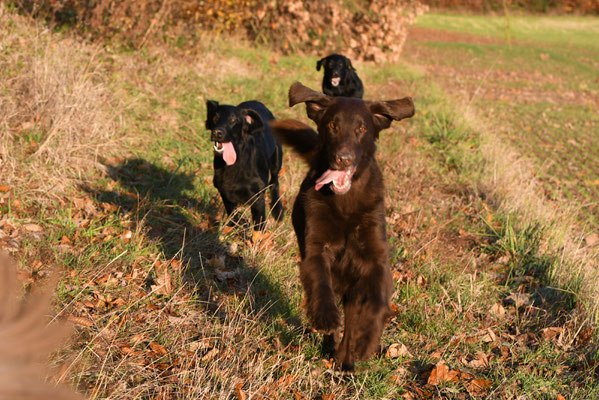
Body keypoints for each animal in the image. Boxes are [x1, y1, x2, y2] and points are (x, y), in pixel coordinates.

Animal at [205, 100, 284, 230]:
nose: (217, 132)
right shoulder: (225, 193)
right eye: (215, 117)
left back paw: (278, 211)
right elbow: (234, 217)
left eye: (233, 120)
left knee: (274, 181)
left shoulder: (257, 197)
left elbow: (259, 225)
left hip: (276, 157)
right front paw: (240, 225)